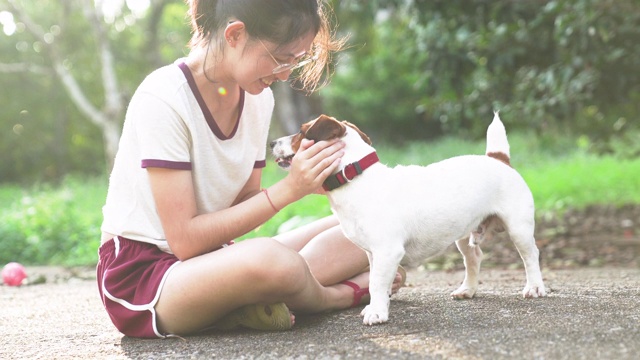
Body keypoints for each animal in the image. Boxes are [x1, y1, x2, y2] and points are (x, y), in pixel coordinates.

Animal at [270, 113, 544, 326]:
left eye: (301, 132)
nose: (272, 142)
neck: (356, 178)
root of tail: (498, 158)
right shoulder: (374, 254)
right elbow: (376, 282)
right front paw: (378, 306)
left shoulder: (387, 251)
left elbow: (376, 283)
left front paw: (377, 313)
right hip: (465, 234)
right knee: (474, 257)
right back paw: (468, 289)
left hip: (518, 227)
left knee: (531, 255)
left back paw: (535, 287)